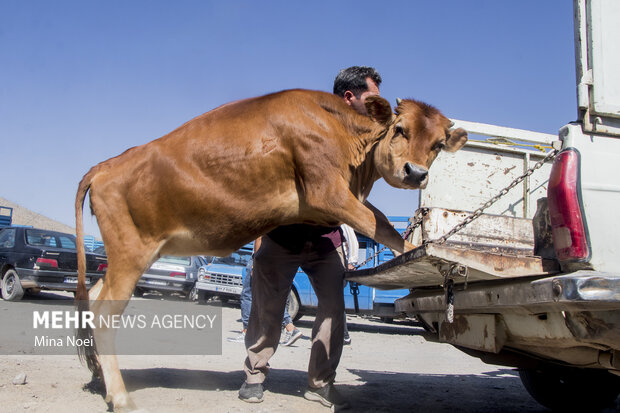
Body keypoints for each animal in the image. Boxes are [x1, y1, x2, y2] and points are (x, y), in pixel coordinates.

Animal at [75, 88, 464, 410]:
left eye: (438, 144)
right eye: (400, 129)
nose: (416, 173)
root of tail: (105, 166)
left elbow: (383, 224)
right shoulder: (329, 192)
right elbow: (379, 226)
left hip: (128, 256)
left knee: (93, 297)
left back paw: (99, 378)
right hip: (130, 252)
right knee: (104, 313)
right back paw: (120, 396)